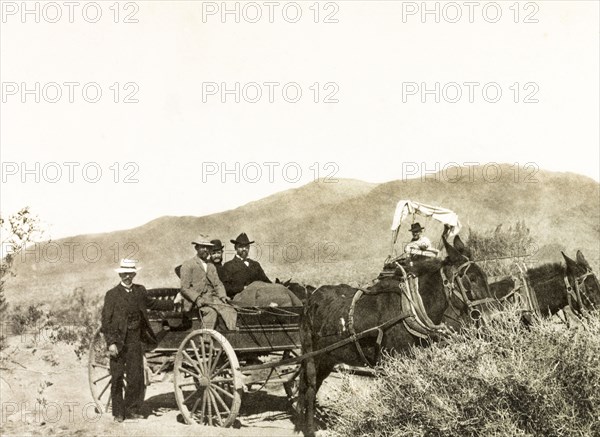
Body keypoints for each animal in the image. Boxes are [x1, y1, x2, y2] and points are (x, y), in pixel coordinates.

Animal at [296, 237, 496, 434]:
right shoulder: (392, 364)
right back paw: (309, 428)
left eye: (486, 278)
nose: (492, 317)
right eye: (471, 279)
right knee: (309, 388)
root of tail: (311, 297)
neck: (409, 309)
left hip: (328, 359)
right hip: (312, 356)